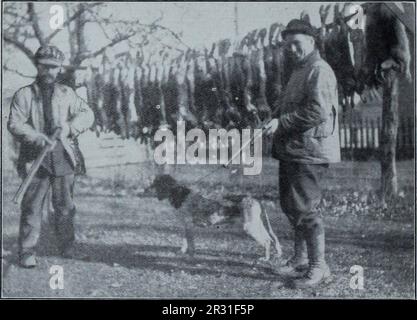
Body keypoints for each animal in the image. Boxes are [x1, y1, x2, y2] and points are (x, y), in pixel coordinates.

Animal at [147, 174, 282, 262]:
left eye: (156, 183)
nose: (146, 189)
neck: (179, 194)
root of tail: (255, 199)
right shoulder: (186, 226)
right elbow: (185, 242)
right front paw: (182, 252)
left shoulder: (189, 225)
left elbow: (190, 244)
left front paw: (190, 256)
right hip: (257, 225)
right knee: (271, 239)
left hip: (250, 227)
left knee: (267, 241)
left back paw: (265, 258)